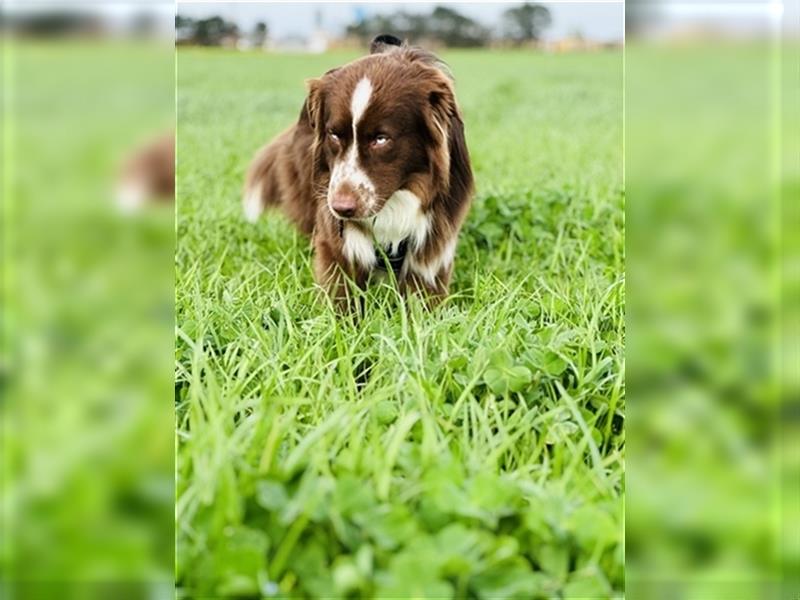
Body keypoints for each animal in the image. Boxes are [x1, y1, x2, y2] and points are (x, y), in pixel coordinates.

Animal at [241, 35, 472, 302]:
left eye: (381, 139)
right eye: (334, 134)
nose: (341, 208)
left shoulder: (435, 237)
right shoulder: (336, 238)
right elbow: (341, 284)